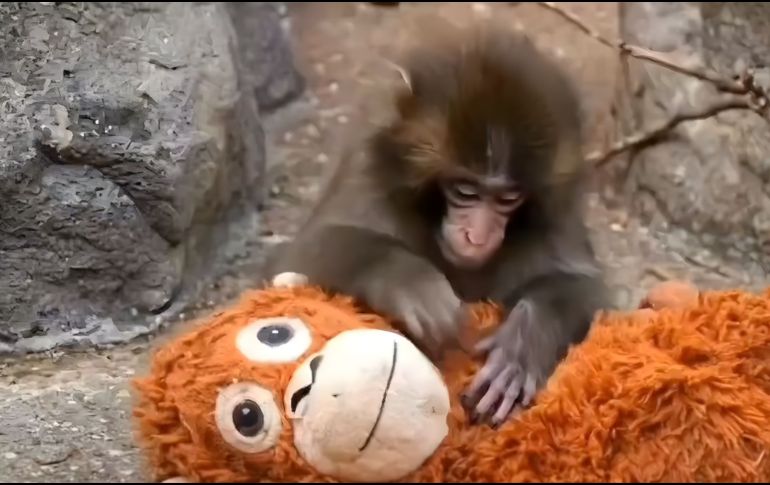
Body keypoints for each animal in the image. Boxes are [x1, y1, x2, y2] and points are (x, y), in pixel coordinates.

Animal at [263, 23, 611, 428]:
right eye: (465, 190)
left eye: (508, 198)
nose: (477, 237)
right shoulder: (369, 166)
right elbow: (305, 254)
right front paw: (411, 282)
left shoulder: (559, 208)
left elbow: (583, 285)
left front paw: (522, 346)